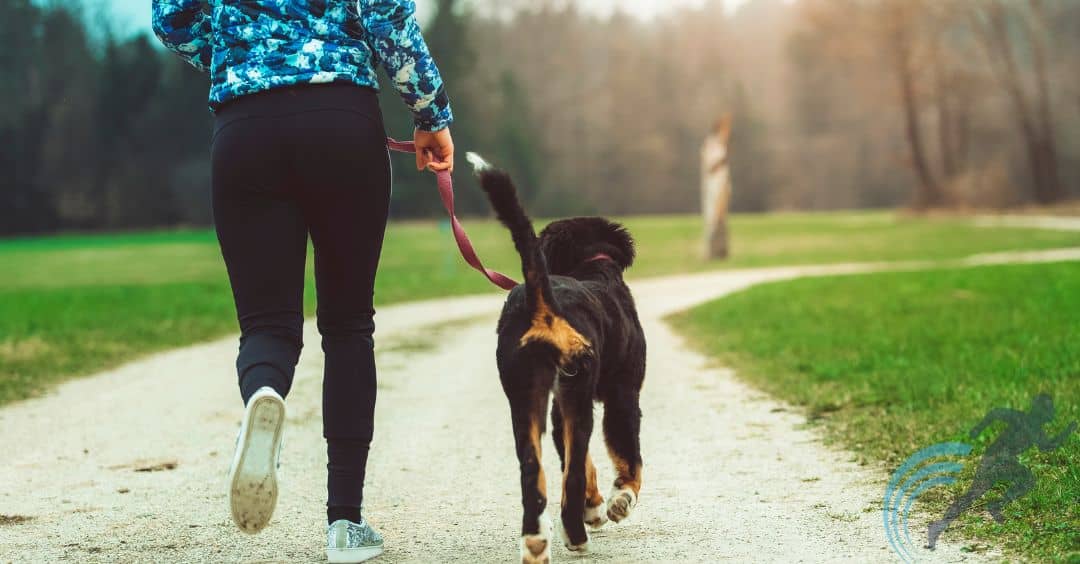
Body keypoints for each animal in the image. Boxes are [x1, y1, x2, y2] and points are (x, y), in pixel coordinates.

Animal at [468, 151, 643, 557]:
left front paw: (597, 507)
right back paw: (576, 535)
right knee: (575, 470)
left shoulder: (558, 404)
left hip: (526, 397)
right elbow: (629, 458)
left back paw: (536, 539)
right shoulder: (623, 393)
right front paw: (618, 502)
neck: (593, 270)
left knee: (534, 472)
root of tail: (542, 299)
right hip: (578, 392)